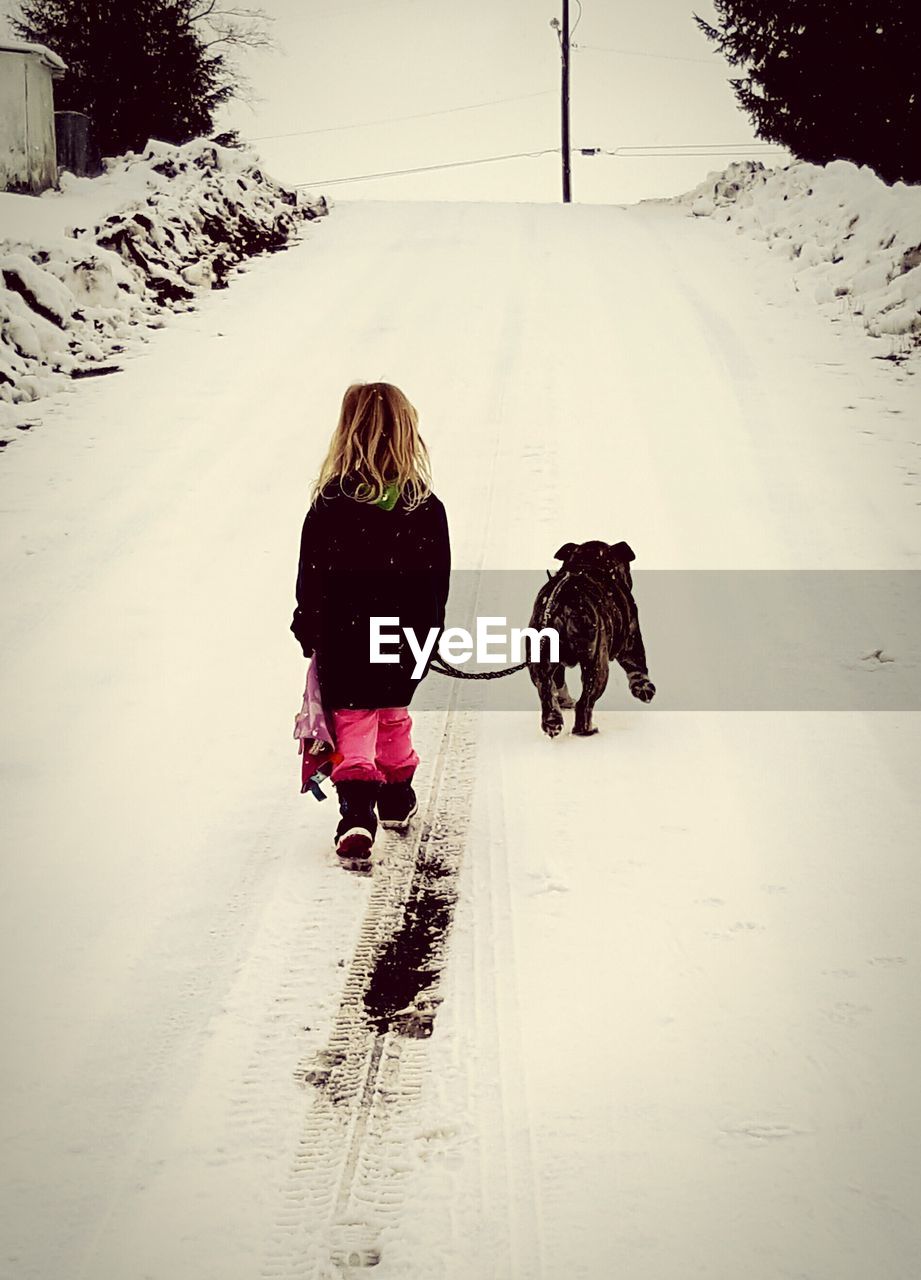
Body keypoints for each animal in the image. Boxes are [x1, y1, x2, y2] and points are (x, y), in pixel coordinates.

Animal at [524, 542, 654, 742]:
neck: (588, 562)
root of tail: (562, 603)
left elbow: (557, 684)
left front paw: (564, 702)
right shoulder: (632, 637)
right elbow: (638, 666)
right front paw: (644, 689)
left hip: (540, 659)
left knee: (546, 690)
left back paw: (553, 722)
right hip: (597, 664)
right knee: (585, 702)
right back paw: (586, 730)